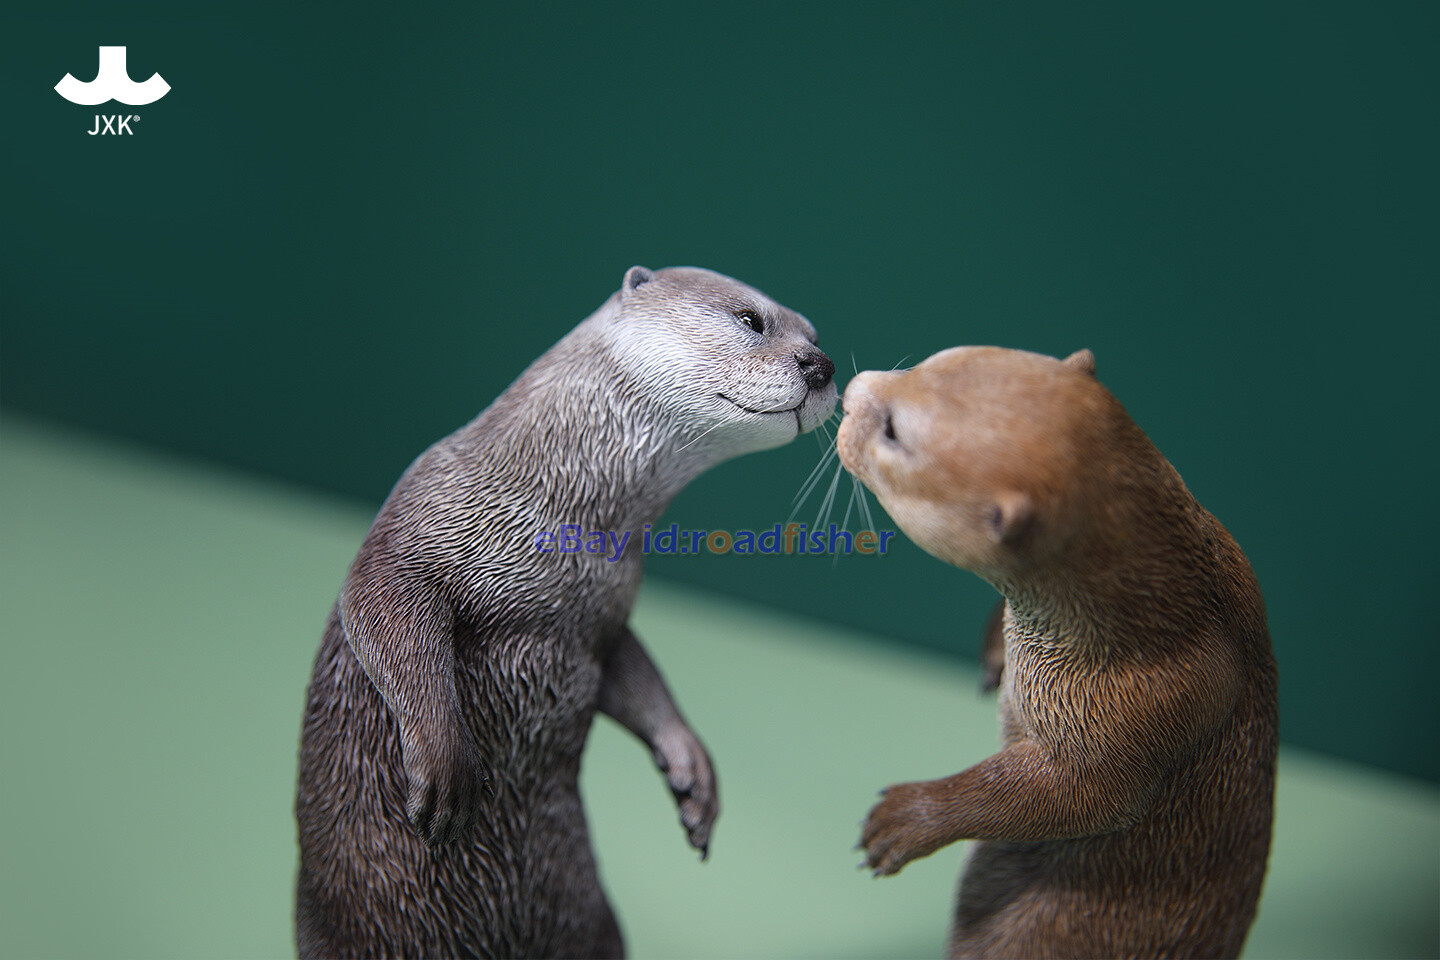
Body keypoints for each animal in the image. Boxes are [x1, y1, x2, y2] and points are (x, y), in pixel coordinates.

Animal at [295, 266, 836, 959]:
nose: (821, 365)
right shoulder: (418, 522)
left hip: (591, 917)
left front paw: (692, 773)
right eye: (750, 320)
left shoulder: (603, 612)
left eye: (814, 334)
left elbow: (636, 678)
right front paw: (444, 770)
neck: (559, 511)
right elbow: (382, 612)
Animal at [837, 346, 1276, 959]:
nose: (850, 393)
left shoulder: (1147, 704)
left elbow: (1076, 798)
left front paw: (903, 819)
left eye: (893, 432)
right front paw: (992, 655)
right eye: (926, 363)